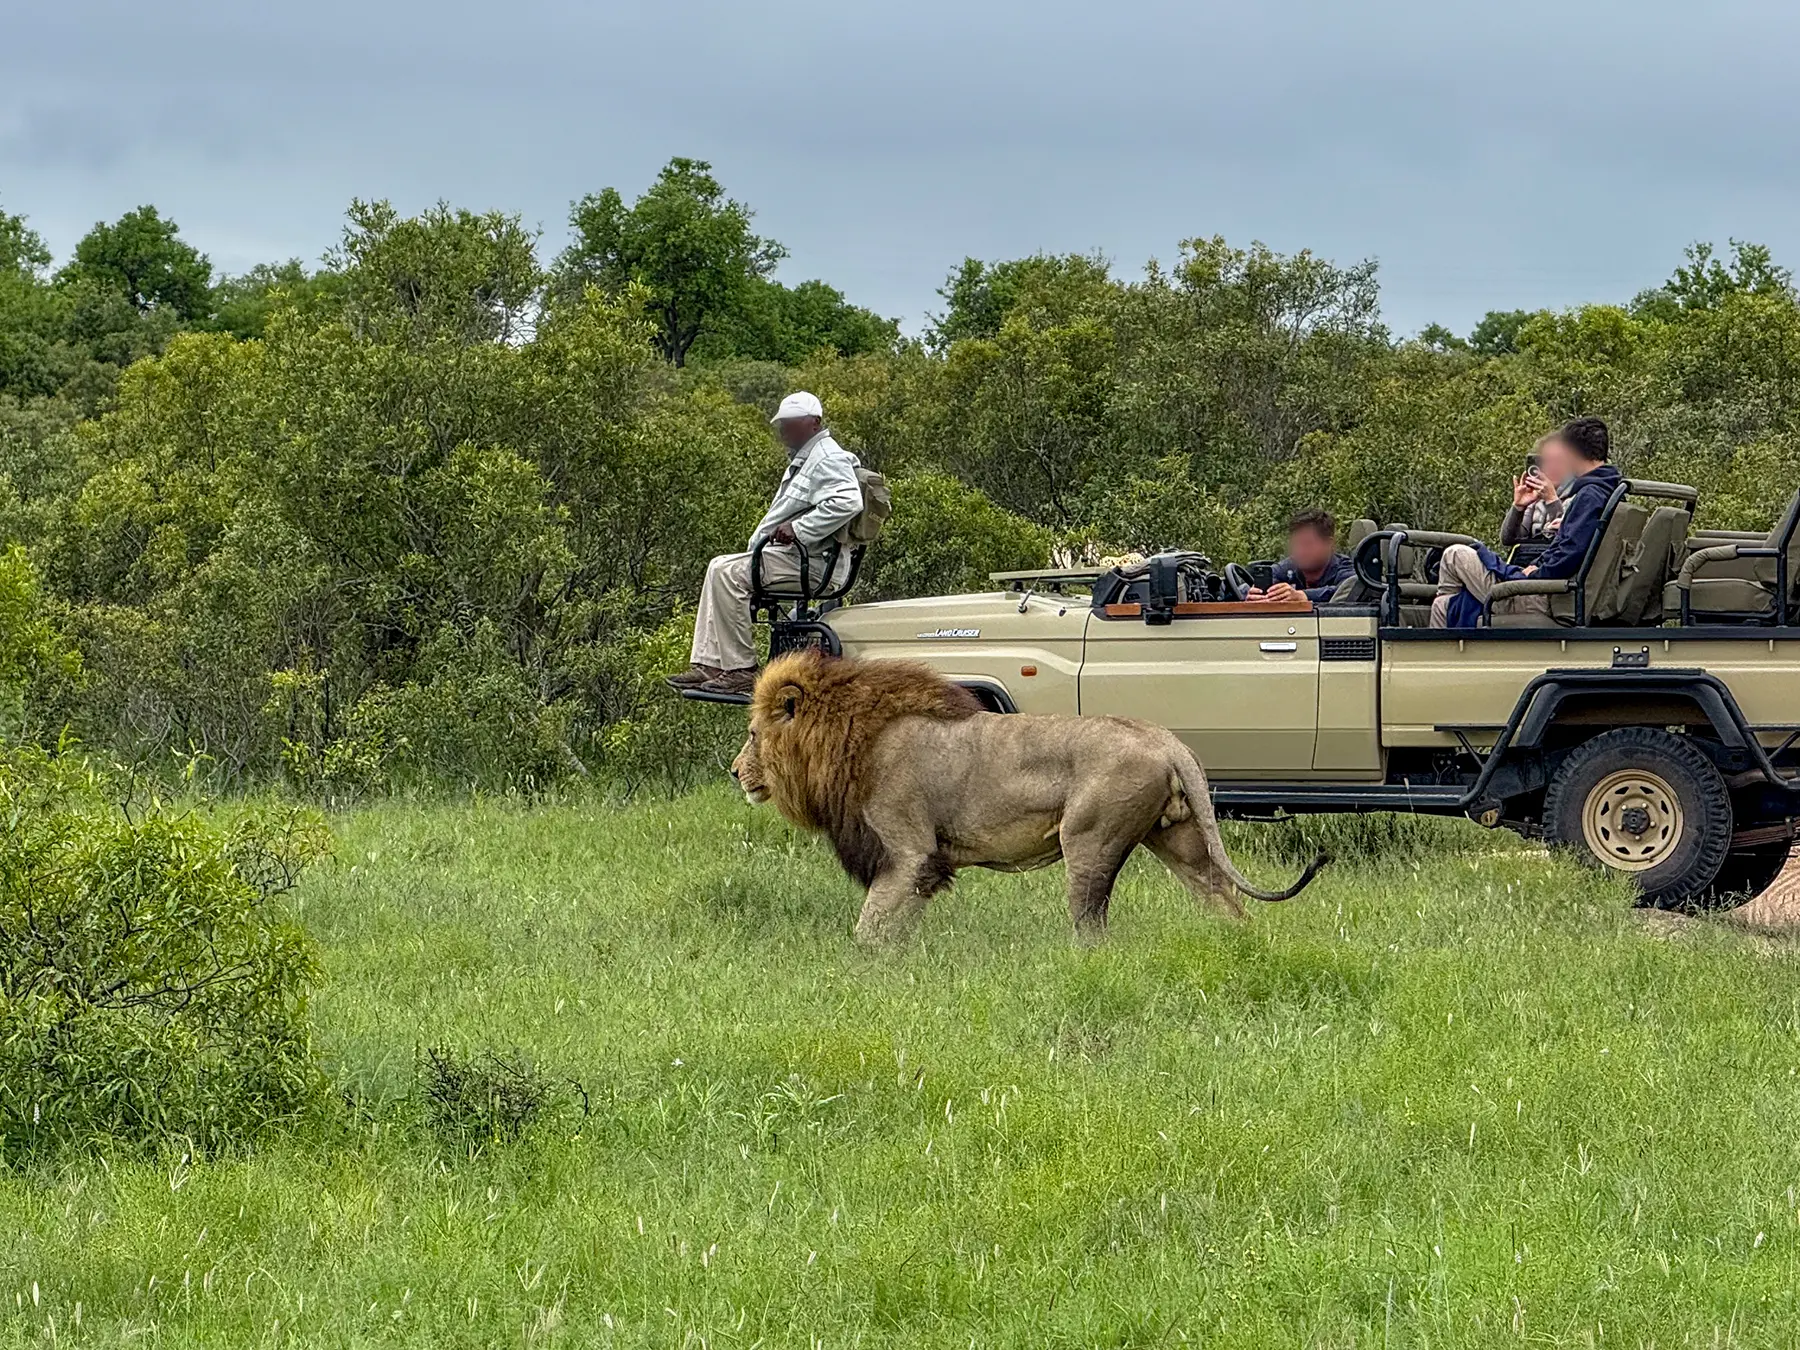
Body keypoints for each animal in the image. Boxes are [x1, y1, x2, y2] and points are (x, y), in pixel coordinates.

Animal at [731, 650, 1326, 942]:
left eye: (754, 734)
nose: (736, 772)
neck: (849, 740)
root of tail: (1169, 740)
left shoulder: (908, 850)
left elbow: (868, 927)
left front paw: (862, 967)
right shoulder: (923, 866)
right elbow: (895, 924)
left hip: (1089, 841)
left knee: (1092, 927)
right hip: (1178, 840)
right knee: (1224, 900)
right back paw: (1237, 949)